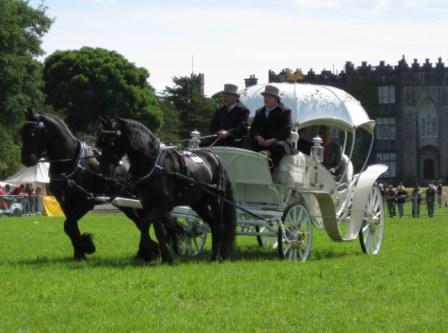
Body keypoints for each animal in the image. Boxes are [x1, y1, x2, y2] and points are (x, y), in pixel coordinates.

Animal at [20, 110, 178, 260]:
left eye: (33, 133)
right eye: (22, 131)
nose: (25, 159)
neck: (70, 162)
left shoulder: (86, 202)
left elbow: (69, 225)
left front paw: (86, 246)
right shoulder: (65, 203)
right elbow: (70, 227)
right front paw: (80, 251)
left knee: (145, 222)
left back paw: (148, 251)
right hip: (128, 205)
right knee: (141, 222)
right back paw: (144, 253)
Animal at [98, 117, 238, 262]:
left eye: (112, 142)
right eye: (100, 143)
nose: (103, 174)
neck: (153, 163)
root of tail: (215, 158)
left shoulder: (166, 203)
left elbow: (145, 223)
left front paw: (149, 251)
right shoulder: (149, 203)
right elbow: (157, 230)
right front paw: (166, 257)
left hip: (216, 199)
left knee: (219, 225)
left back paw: (216, 256)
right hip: (199, 203)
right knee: (212, 223)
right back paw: (217, 255)